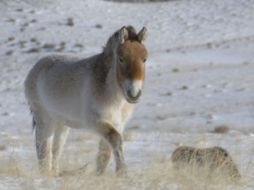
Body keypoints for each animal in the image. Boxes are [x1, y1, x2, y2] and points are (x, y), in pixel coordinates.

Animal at [24, 26, 148, 176]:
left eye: (144, 59)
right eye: (121, 59)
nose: (134, 94)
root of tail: (36, 68)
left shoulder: (117, 124)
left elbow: (105, 153)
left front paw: (101, 174)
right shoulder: (97, 122)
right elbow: (116, 140)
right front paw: (122, 171)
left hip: (61, 125)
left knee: (56, 150)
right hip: (45, 120)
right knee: (43, 149)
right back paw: (46, 174)